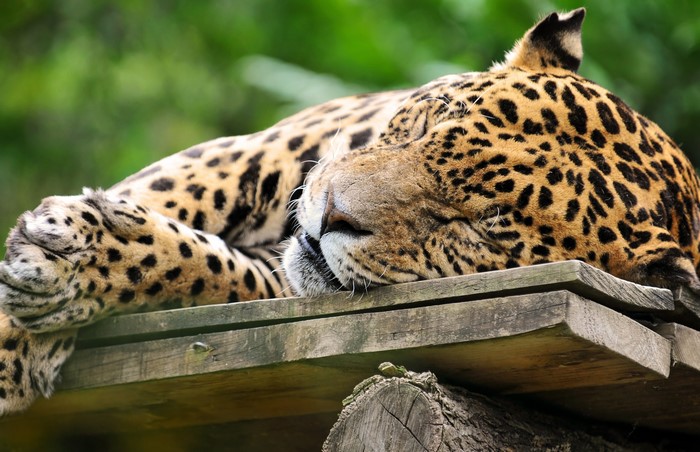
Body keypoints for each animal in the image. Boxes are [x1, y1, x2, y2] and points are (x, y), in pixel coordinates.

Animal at [2, 7, 700, 416]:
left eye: (476, 226)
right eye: (425, 123)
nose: (329, 214)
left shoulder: (280, 278)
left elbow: (204, 266)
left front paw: (70, 267)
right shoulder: (259, 150)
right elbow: (179, 188)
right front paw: (29, 307)